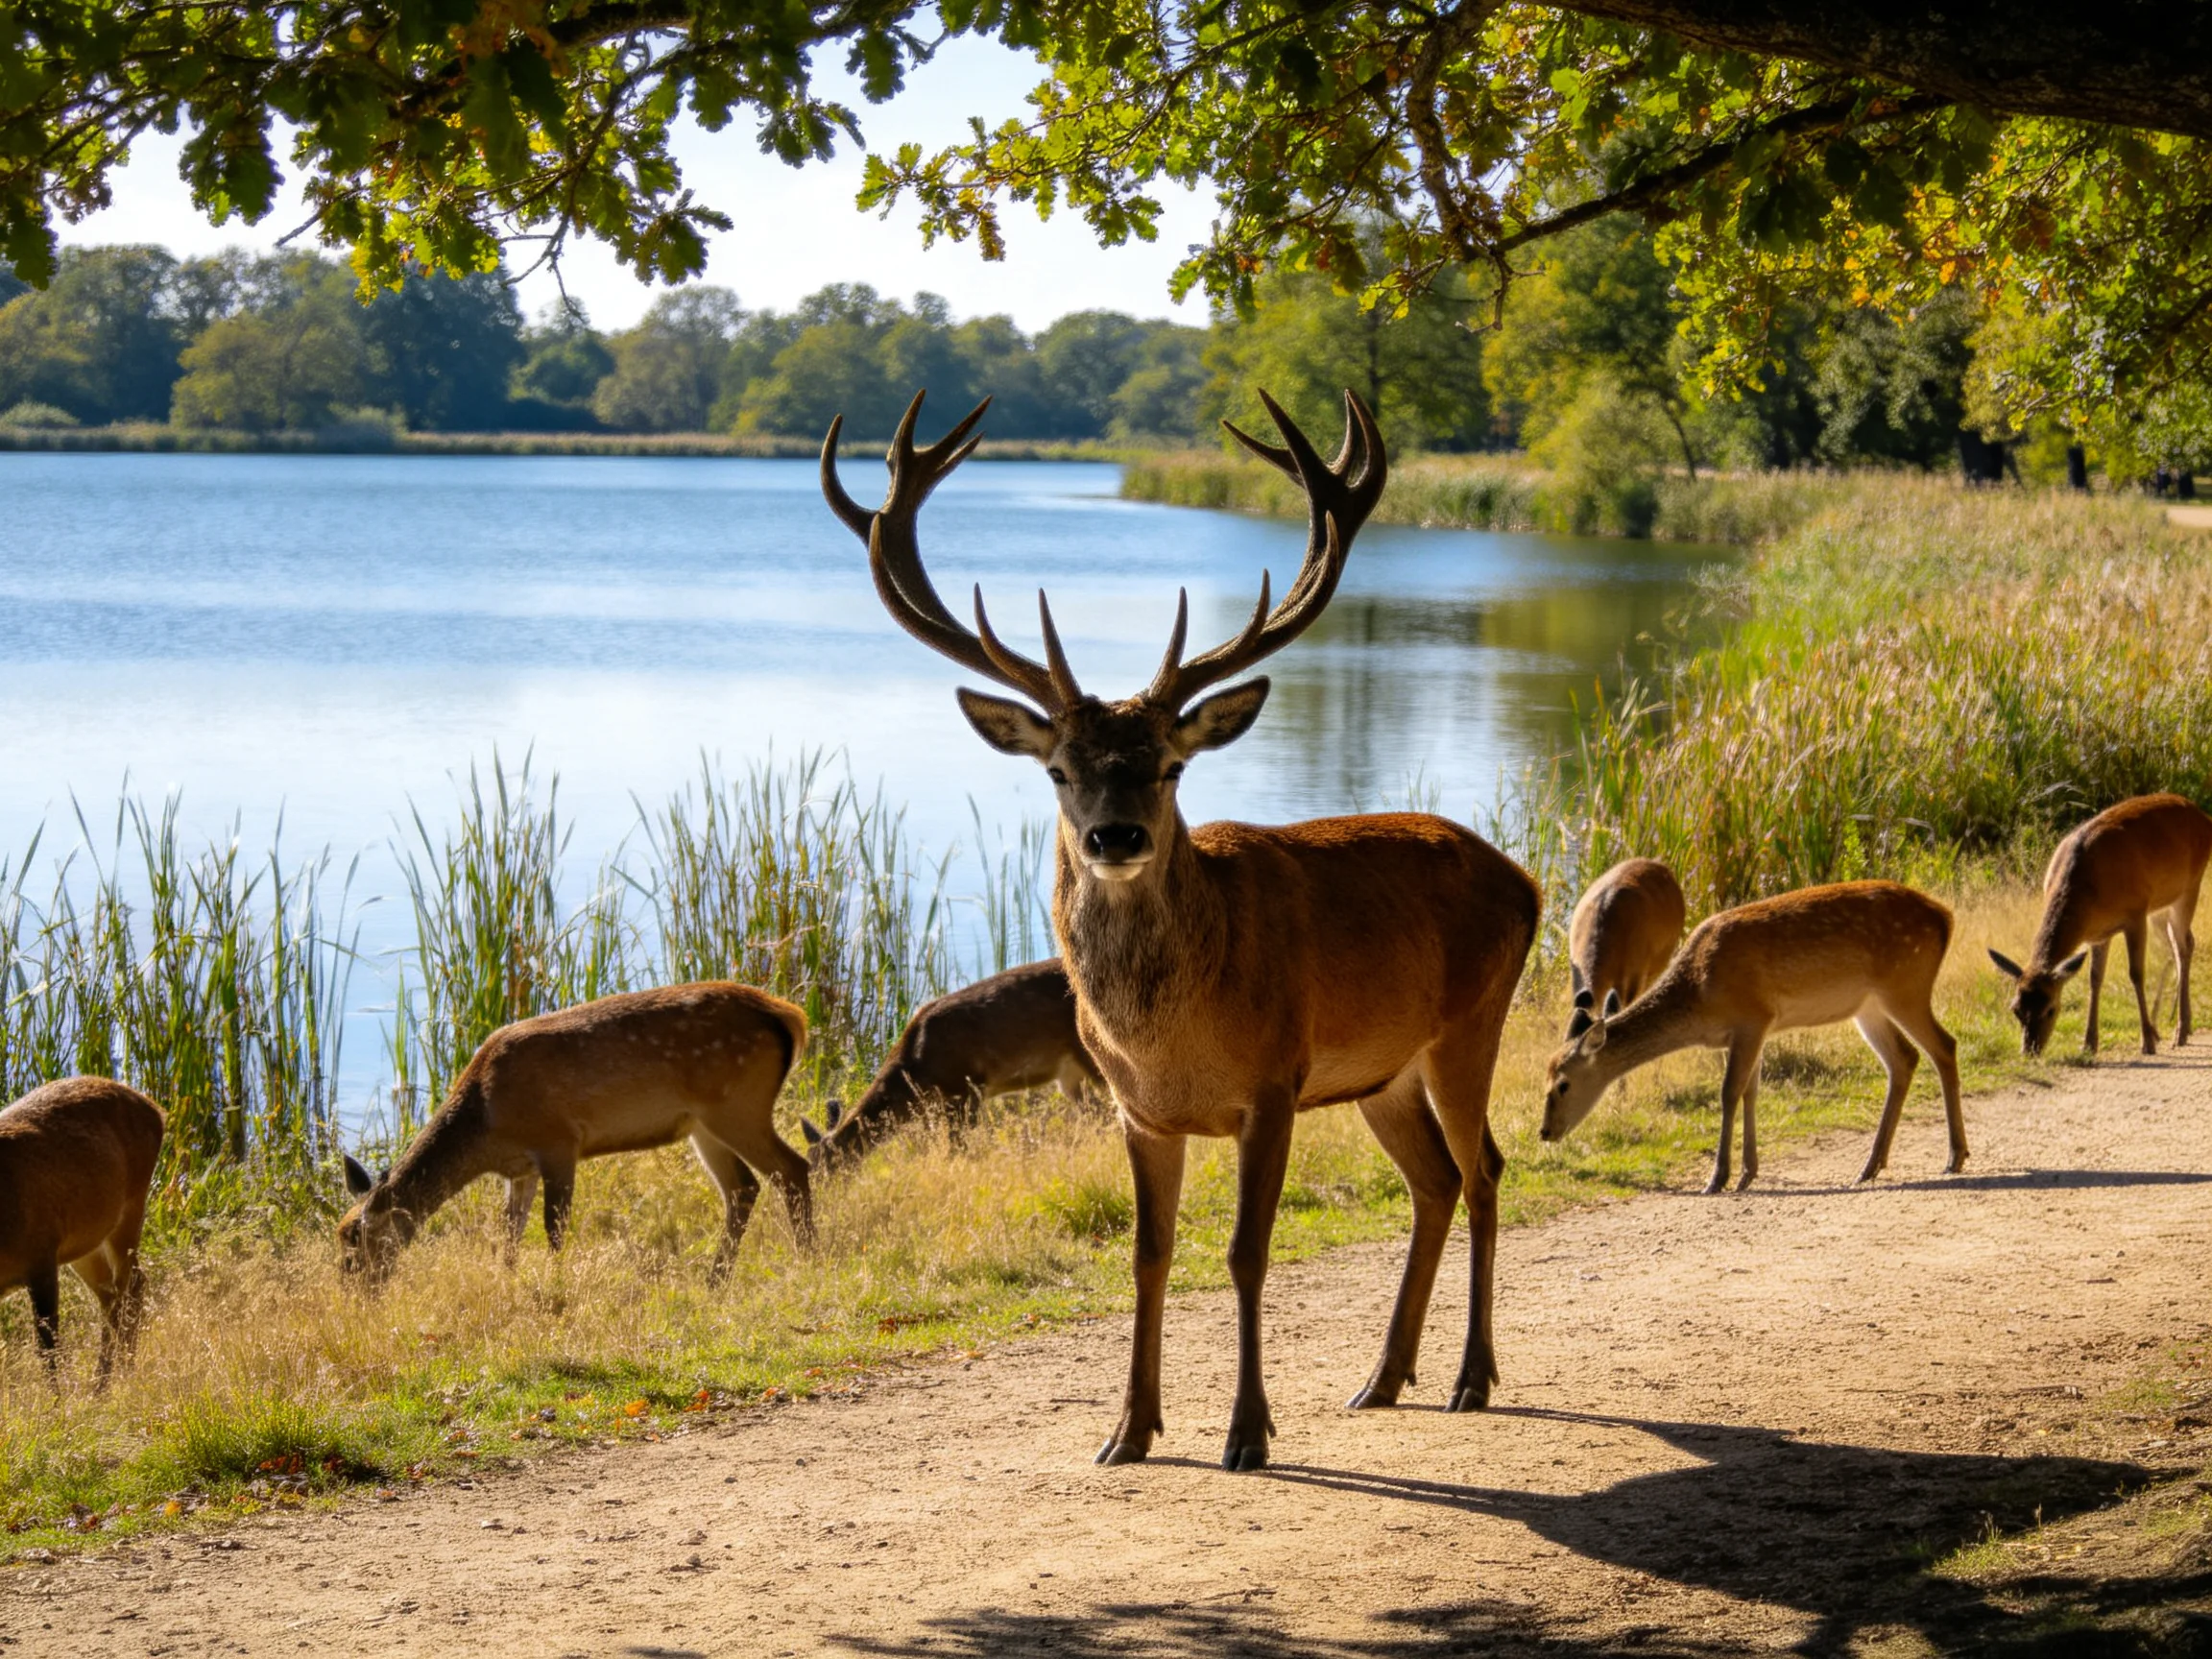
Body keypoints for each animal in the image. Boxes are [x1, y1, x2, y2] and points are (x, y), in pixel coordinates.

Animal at [0, 1077, 165, 1381]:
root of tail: (155, 1108)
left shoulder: (41, 1254)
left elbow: (49, 1349)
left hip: (131, 1206)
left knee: (132, 1286)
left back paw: (123, 1373)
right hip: (85, 1243)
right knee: (111, 1296)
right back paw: (103, 1380)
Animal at [340, 982, 811, 1283]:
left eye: (354, 1238)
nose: (354, 1290)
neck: (487, 1125)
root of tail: (789, 1016)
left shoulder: (559, 1141)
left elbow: (553, 1226)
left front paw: (556, 1288)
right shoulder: (521, 1169)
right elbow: (509, 1232)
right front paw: (506, 1282)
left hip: (737, 1106)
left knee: (793, 1168)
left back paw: (809, 1259)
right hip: (705, 1123)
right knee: (743, 1187)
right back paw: (716, 1279)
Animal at [1542, 880, 1965, 1193]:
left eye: (1562, 1084)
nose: (1545, 1131)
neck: (1699, 996)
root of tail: (1946, 917)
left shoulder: (1752, 1017)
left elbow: (1729, 1092)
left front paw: (1718, 1178)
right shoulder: (1753, 1029)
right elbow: (1751, 1092)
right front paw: (1747, 1173)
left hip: (1905, 984)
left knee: (1944, 1046)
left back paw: (1954, 1157)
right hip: (1869, 1006)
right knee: (1904, 1059)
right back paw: (1871, 1166)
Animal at [1988, 793, 2212, 1058]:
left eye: (2051, 1009)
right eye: (2016, 1009)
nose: (2029, 1050)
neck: (2089, 888)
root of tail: (2204, 817)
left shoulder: (2136, 912)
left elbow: (2136, 974)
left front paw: (2147, 1042)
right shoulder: (2099, 933)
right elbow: (2095, 979)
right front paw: (2089, 1043)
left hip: (2190, 886)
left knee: (2183, 946)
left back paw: (2179, 1031)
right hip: (2161, 906)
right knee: (2183, 943)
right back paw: (2174, 1027)